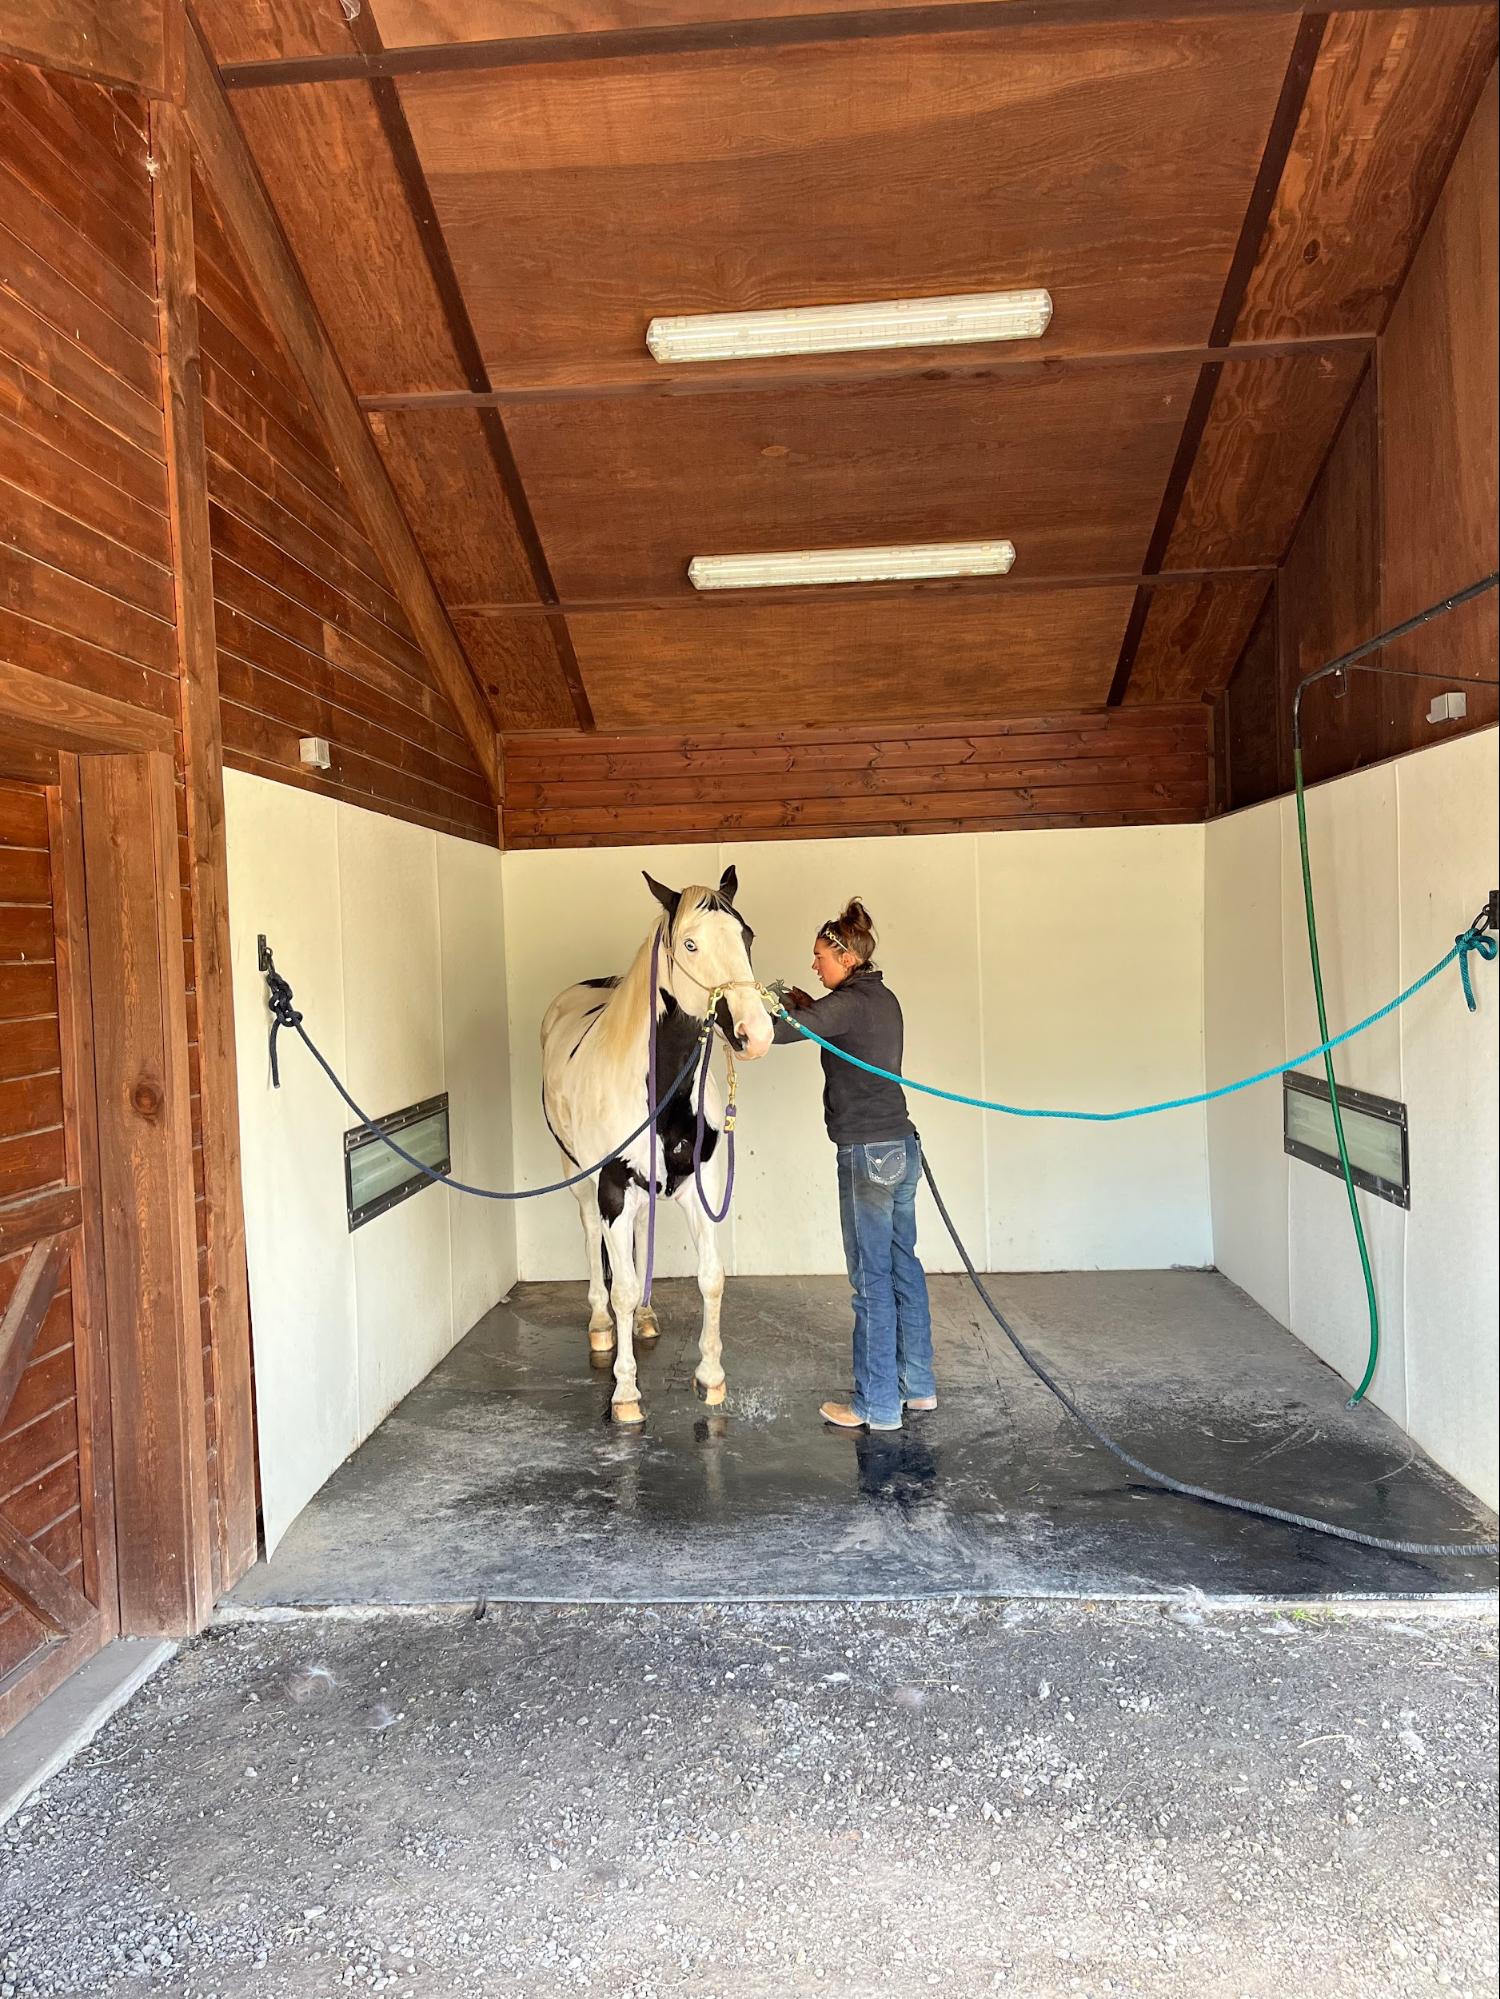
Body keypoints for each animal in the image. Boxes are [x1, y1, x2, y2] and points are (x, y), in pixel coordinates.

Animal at [540, 866, 774, 1425]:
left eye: (747, 936)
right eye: (689, 944)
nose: (756, 1033)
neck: (657, 1088)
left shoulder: (700, 1185)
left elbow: (710, 1276)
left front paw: (710, 1377)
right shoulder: (613, 1186)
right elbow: (621, 1285)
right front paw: (625, 1392)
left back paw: (646, 1317)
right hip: (580, 1178)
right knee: (593, 1240)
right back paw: (601, 1325)